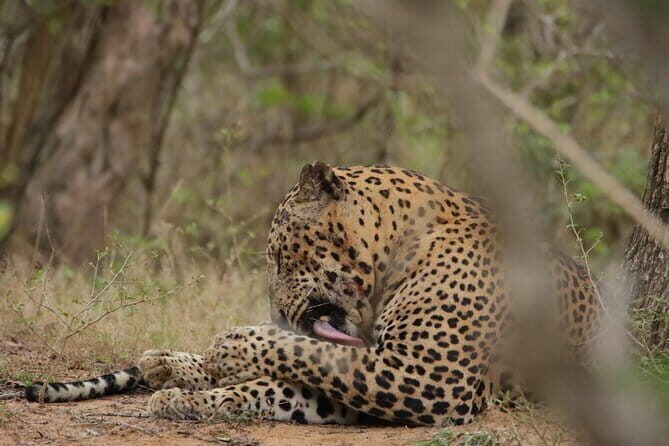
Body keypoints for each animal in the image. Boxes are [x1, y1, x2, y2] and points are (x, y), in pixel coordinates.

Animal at [25, 162, 601, 426]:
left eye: (280, 257)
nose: (275, 311)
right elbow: (284, 378)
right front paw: (187, 385)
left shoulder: (431, 380)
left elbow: (300, 353)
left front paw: (229, 349)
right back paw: (164, 363)